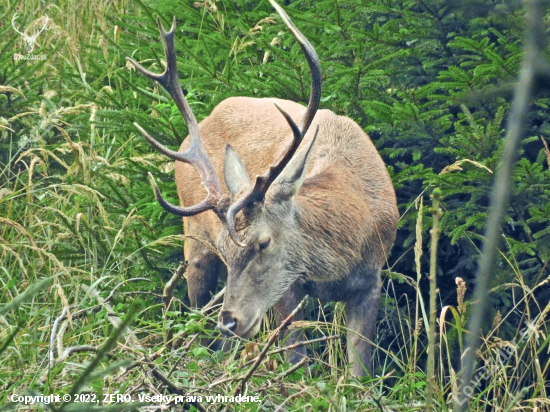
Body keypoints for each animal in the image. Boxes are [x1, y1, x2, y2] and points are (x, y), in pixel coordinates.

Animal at [128, 0, 398, 376]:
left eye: (263, 243)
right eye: (226, 248)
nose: (231, 320)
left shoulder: (372, 280)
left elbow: (360, 372)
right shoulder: (288, 284)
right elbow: (296, 360)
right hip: (194, 242)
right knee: (195, 319)